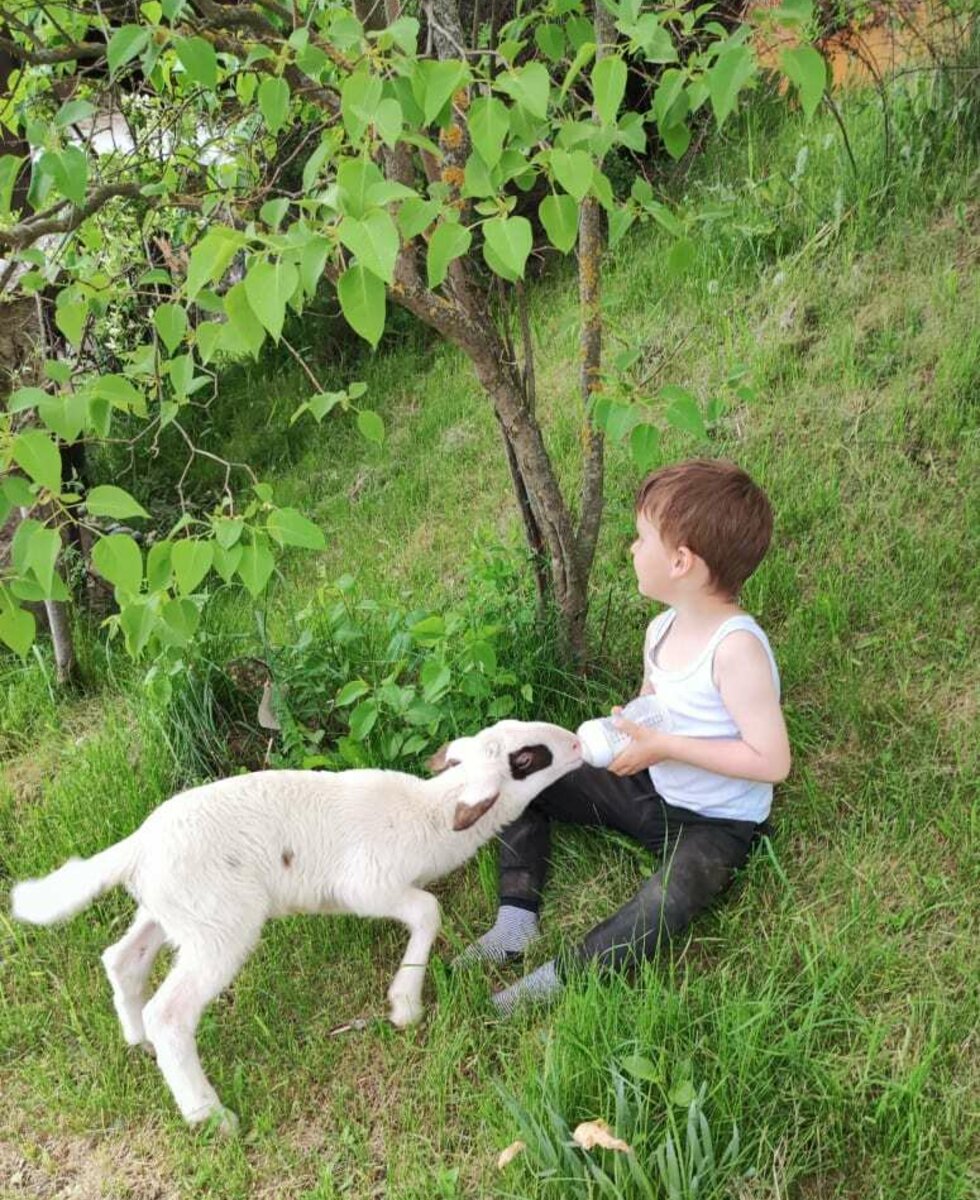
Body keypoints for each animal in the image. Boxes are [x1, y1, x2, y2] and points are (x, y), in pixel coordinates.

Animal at [11, 720, 580, 1132]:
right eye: (527, 758)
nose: (576, 742)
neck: (430, 813)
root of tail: (137, 848)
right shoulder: (368, 885)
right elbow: (428, 911)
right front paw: (405, 1004)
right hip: (221, 923)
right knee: (169, 1013)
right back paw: (208, 1114)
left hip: (173, 909)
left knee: (122, 959)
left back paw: (137, 1040)